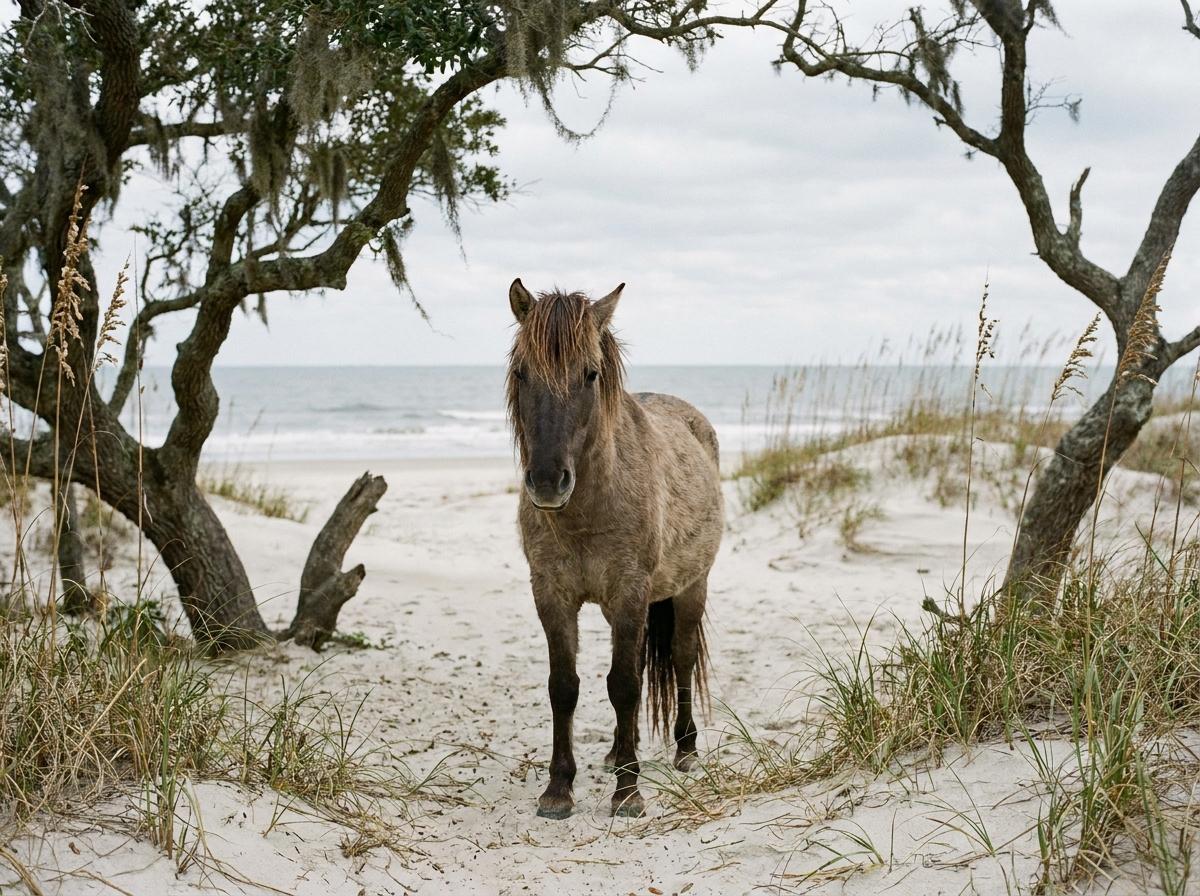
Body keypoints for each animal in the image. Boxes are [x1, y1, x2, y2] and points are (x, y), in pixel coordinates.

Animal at [505, 278, 724, 819]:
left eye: (590, 374)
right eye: (522, 372)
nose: (547, 482)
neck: (587, 511)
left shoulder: (629, 592)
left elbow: (623, 684)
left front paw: (628, 792)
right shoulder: (553, 595)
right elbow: (565, 687)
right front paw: (558, 788)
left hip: (692, 587)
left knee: (681, 658)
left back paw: (685, 750)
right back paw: (614, 753)